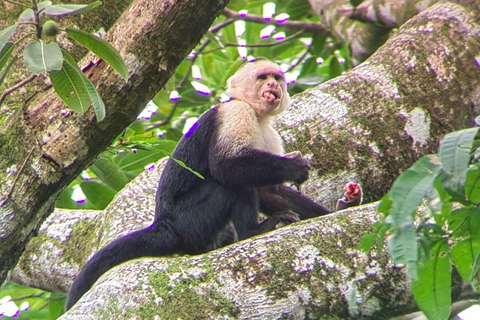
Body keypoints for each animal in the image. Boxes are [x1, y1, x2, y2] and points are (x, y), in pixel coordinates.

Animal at [65, 58, 362, 310]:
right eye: (262, 77)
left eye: (277, 77)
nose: (272, 86)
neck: (256, 114)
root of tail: (163, 224)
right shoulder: (236, 113)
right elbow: (226, 167)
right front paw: (294, 168)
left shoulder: (268, 131)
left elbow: (269, 191)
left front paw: (344, 204)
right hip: (190, 221)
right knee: (228, 183)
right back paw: (252, 230)